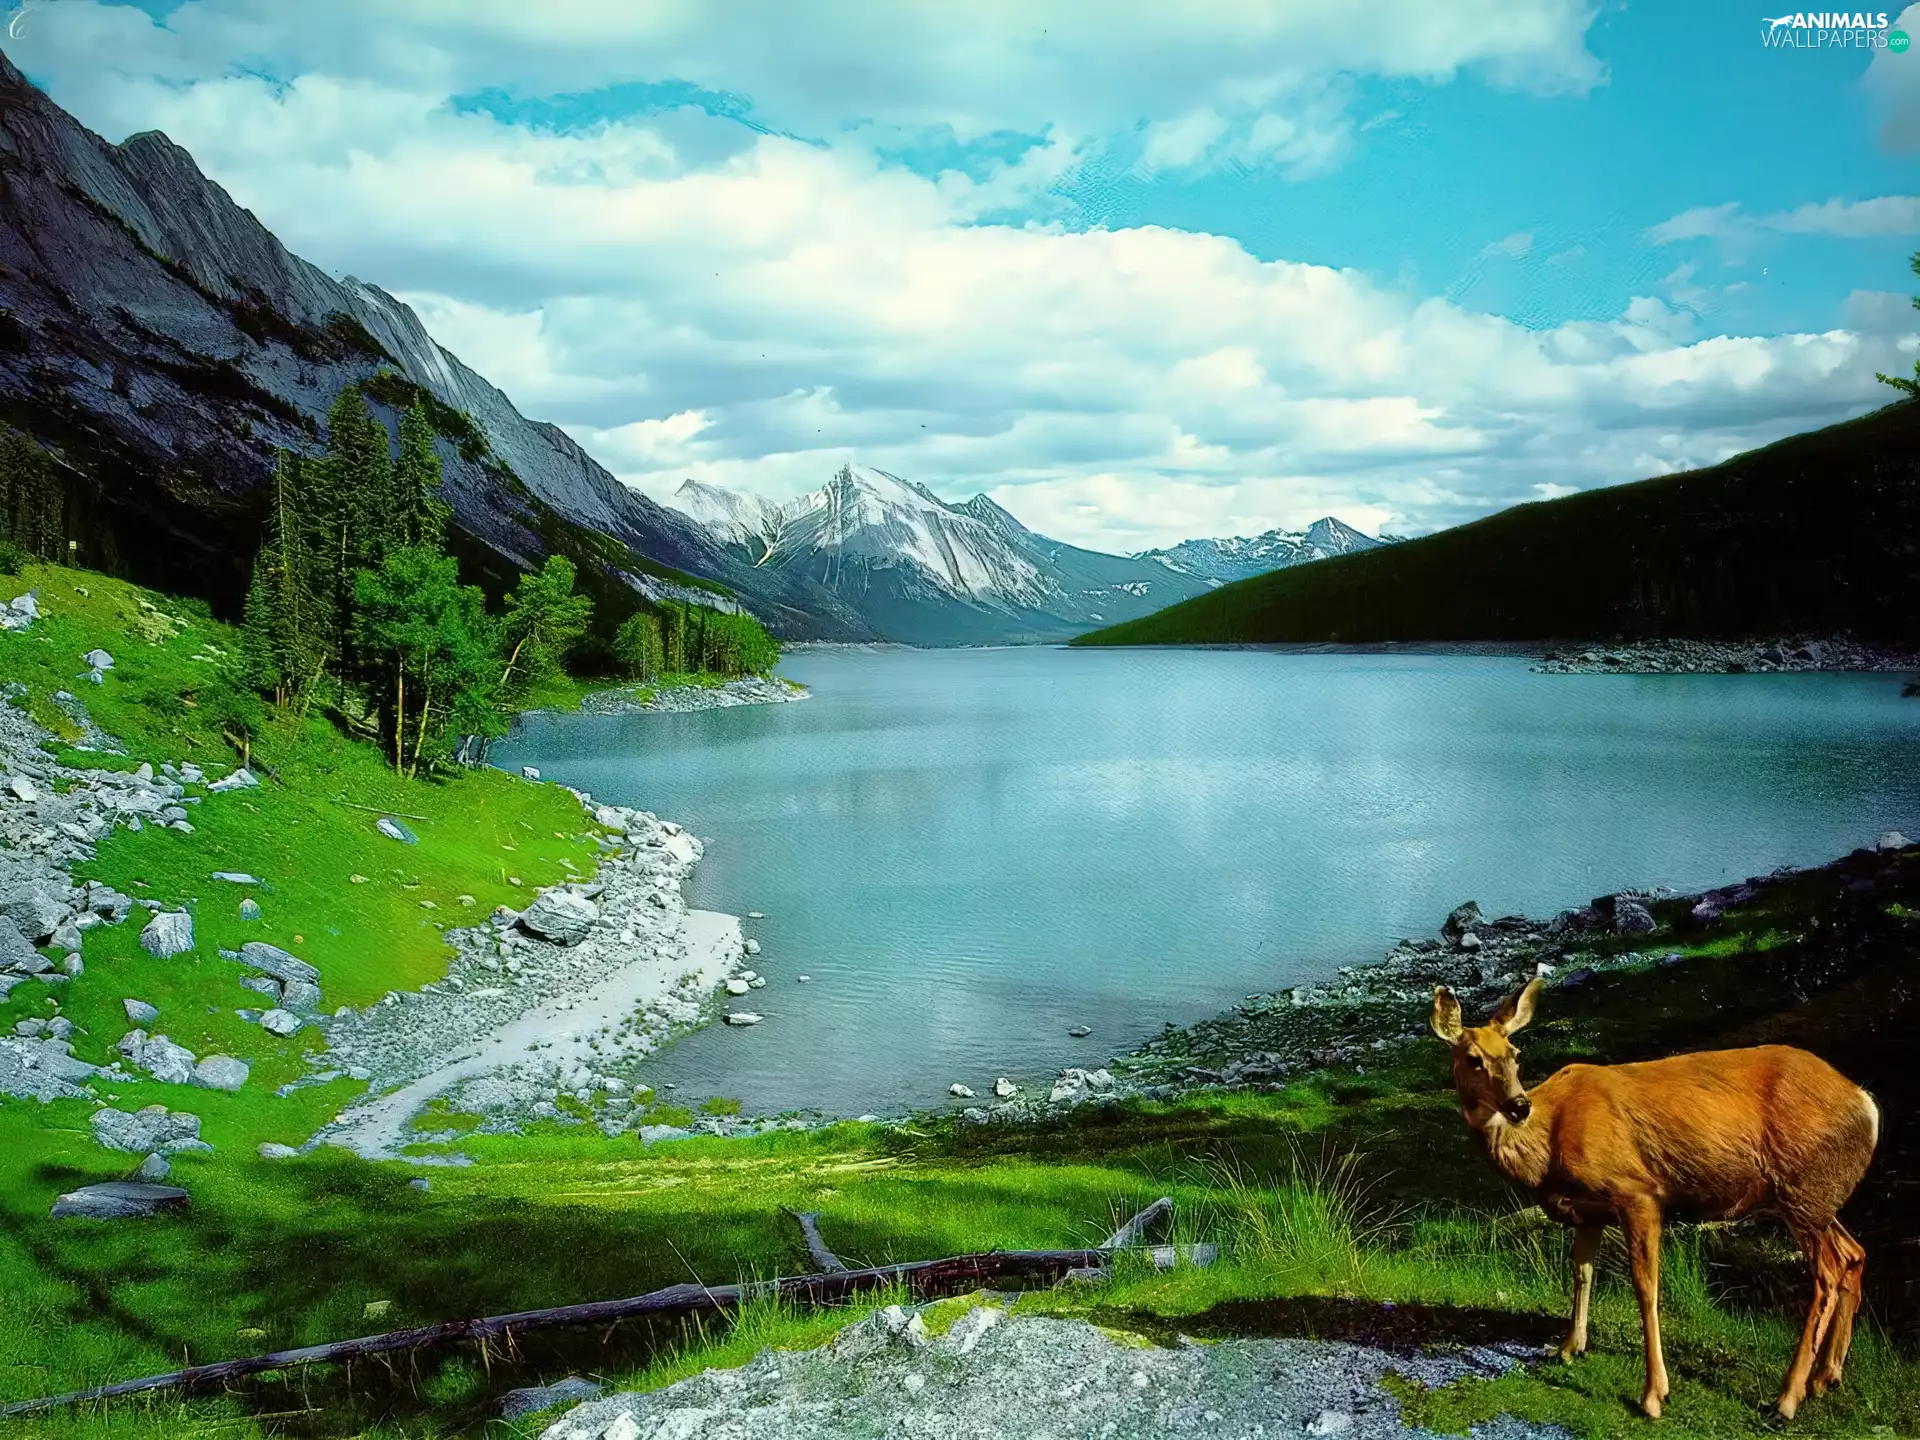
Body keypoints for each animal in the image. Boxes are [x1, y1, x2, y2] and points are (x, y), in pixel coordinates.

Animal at [1430, 977, 1879, 1420]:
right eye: (1473, 1059)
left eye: (1515, 1054)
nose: (1518, 1105)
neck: (1549, 1144)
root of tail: (1866, 1103)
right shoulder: (1588, 1211)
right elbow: (1582, 1272)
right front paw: (1568, 1347)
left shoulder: (1637, 1192)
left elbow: (1646, 1288)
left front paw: (1653, 1395)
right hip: (1816, 1198)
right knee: (1854, 1254)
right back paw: (1826, 1377)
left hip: (1801, 1190)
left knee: (1828, 1273)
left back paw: (1788, 1396)